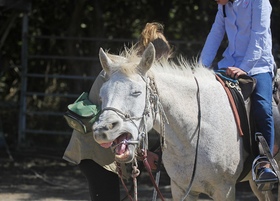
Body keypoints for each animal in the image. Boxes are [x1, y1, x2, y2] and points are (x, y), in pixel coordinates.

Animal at [93, 43, 278, 200]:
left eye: (136, 92)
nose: (102, 130)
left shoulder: (224, 190)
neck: (194, 133)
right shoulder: (181, 189)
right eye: (101, 95)